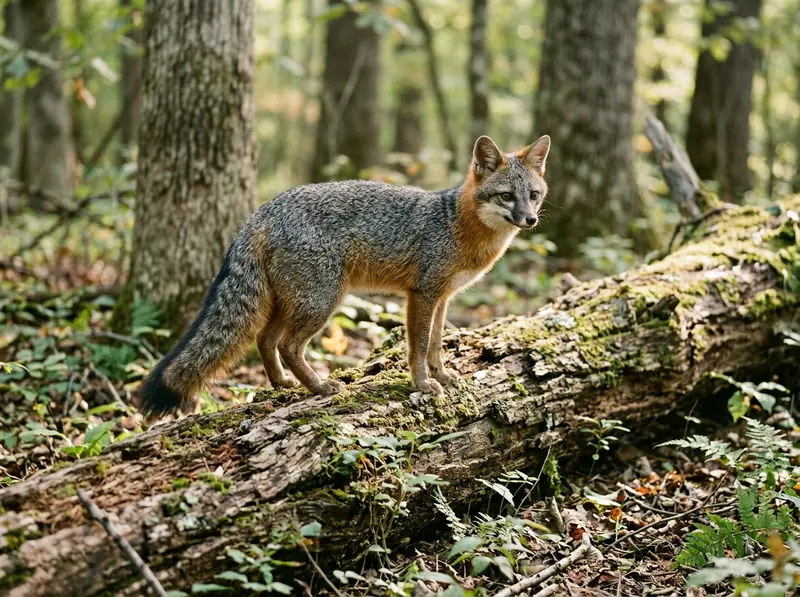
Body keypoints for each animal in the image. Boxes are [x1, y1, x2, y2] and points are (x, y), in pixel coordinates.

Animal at [137, 134, 551, 418]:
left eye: (533, 195)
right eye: (506, 196)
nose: (530, 220)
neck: (456, 224)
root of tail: (263, 210)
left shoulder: (444, 297)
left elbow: (435, 344)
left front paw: (443, 374)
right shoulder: (422, 295)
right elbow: (417, 347)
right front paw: (422, 383)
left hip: (294, 302)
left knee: (264, 339)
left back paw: (282, 384)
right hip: (322, 301)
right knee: (287, 345)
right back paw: (319, 387)